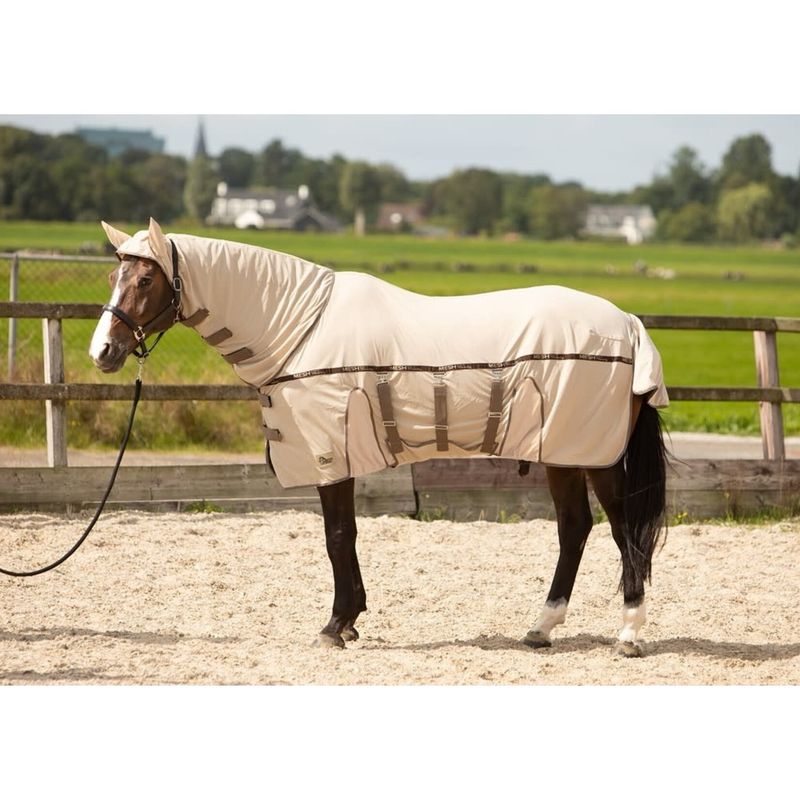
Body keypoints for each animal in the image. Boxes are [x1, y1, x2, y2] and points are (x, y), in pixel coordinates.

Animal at [89, 218, 668, 657]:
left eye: (145, 281)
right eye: (115, 274)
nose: (103, 352)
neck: (301, 330)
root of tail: (628, 324)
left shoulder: (328, 455)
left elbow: (336, 537)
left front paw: (334, 626)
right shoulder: (338, 458)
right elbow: (346, 537)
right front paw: (350, 621)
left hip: (594, 455)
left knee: (624, 532)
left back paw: (628, 634)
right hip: (563, 455)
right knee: (575, 529)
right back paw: (541, 629)